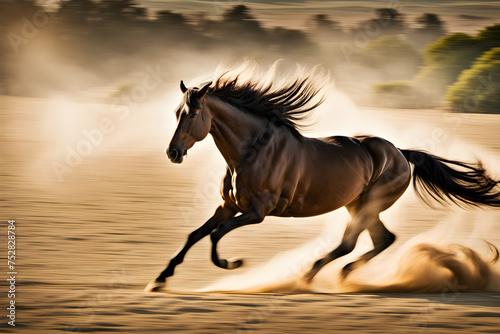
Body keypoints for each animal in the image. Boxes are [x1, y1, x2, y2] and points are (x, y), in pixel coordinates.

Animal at [146, 65, 500, 292]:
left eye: (193, 114)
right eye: (176, 113)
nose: (173, 152)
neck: (250, 152)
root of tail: (400, 152)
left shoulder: (257, 212)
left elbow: (216, 235)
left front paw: (231, 264)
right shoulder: (228, 206)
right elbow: (196, 234)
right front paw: (159, 279)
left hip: (370, 205)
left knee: (349, 243)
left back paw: (311, 276)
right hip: (359, 205)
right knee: (382, 240)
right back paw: (341, 275)